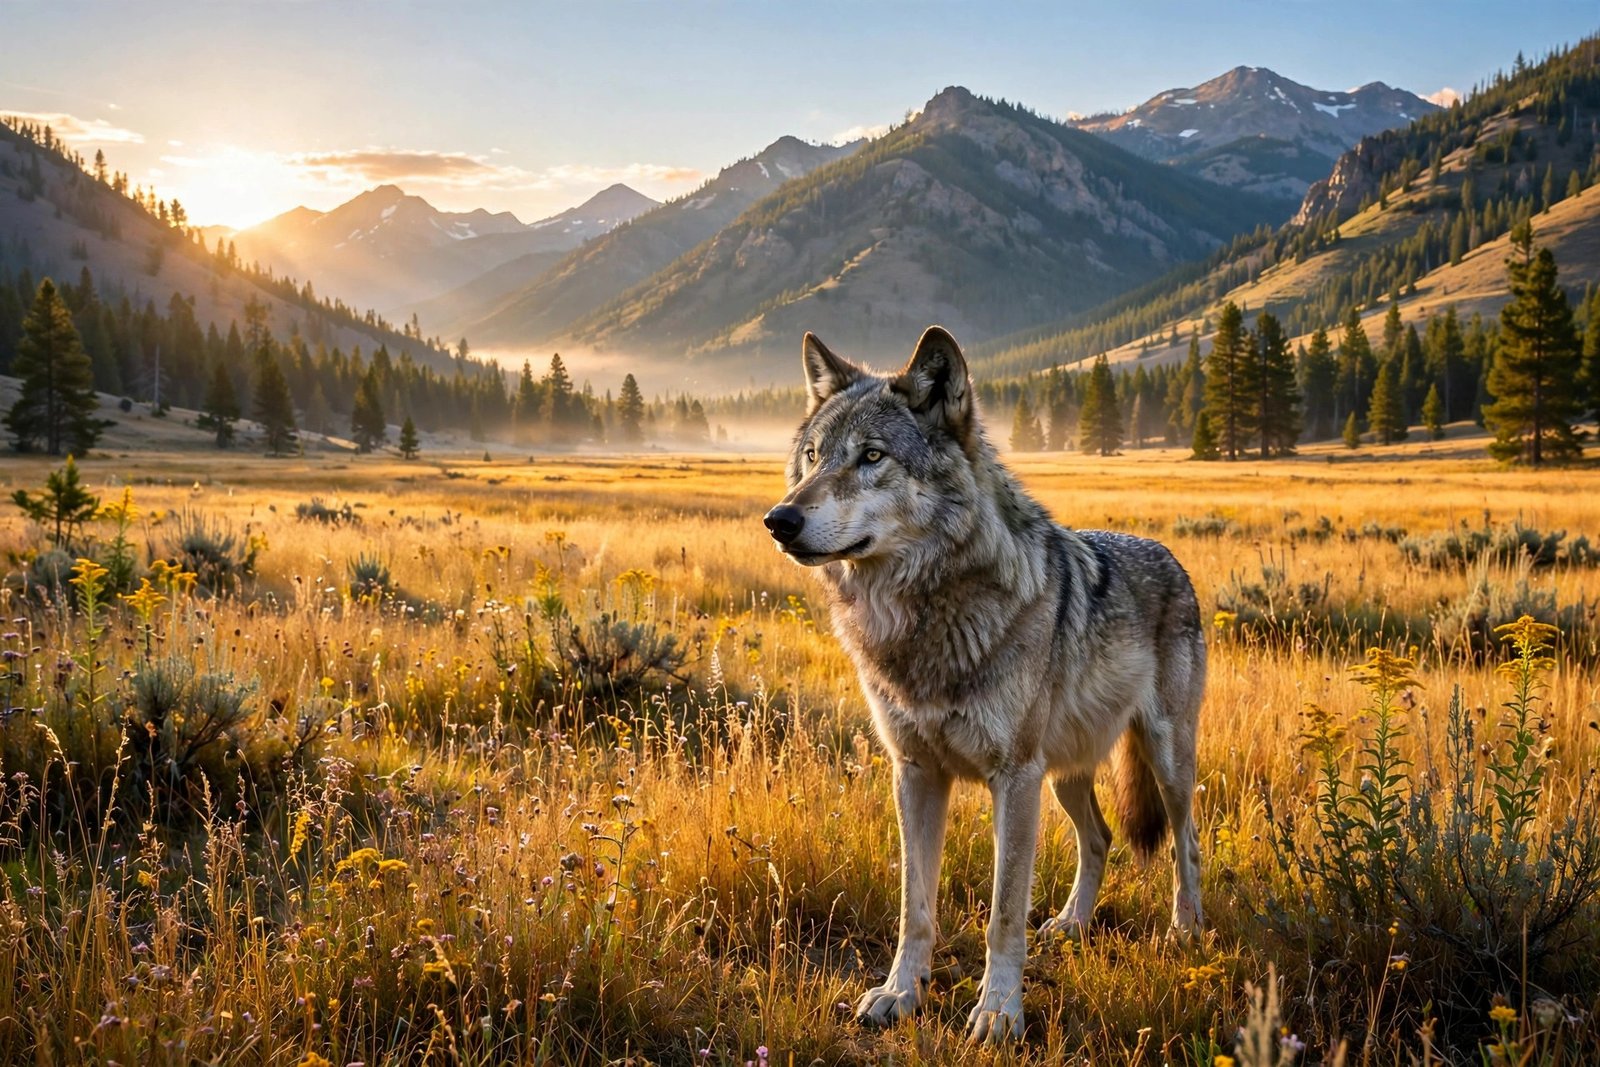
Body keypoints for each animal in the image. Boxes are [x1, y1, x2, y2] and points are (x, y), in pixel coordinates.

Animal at [762, 326, 1206, 1044]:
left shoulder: (1013, 777)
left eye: (872, 456)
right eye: (811, 457)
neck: (925, 616)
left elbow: (1002, 915)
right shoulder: (915, 772)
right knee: (1100, 837)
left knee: (1186, 841)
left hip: (1162, 761)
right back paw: (1071, 925)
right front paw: (899, 994)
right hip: (1065, 774)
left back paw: (1185, 930)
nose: (779, 520)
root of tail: (1170, 555)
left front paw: (999, 1012)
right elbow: (916, 907)